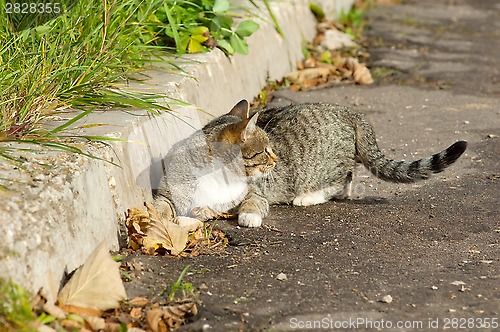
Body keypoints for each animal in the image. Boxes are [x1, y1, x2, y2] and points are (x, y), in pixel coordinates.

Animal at [154, 100, 466, 227]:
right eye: (265, 150)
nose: (276, 159)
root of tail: (350, 112)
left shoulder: (256, 191)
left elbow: (253, 202)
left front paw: (249, 216)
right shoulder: (169, 192)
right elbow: (163, 207)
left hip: (320, 167)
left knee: (343, 180)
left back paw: (308, 197)